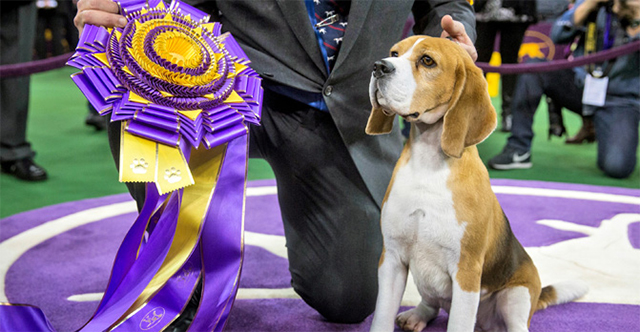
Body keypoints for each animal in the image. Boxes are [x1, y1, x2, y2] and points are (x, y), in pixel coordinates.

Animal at [362, 36, 588, 332]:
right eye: (394, 53)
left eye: (427, 61)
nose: (379, 66)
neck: (428, 165)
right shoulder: (391, 259)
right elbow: (381, 316)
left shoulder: (466, 271)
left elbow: (458, 322)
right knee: (432, 304)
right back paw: (416, 316)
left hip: (516, 295)